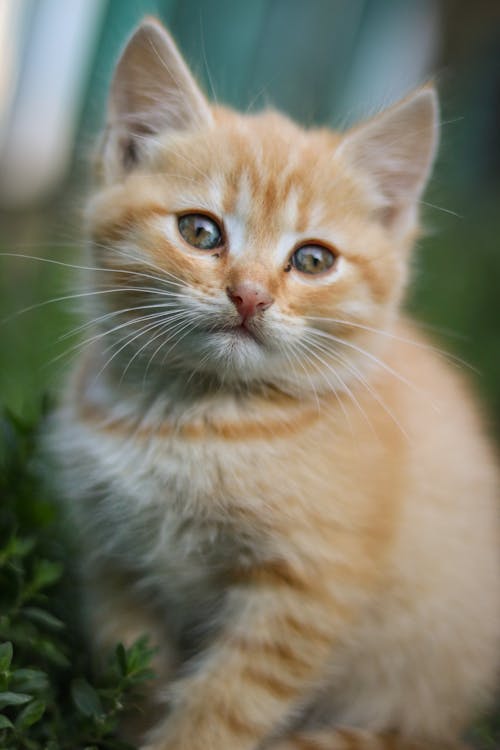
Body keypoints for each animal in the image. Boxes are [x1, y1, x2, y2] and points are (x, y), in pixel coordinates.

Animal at [51, 16, 500, 750]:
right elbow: (136, 670)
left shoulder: (303, 596)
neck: (194, 419)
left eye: (313, 260)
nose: (250, 295)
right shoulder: (114, 561)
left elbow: (221, 708)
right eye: (199, 231)